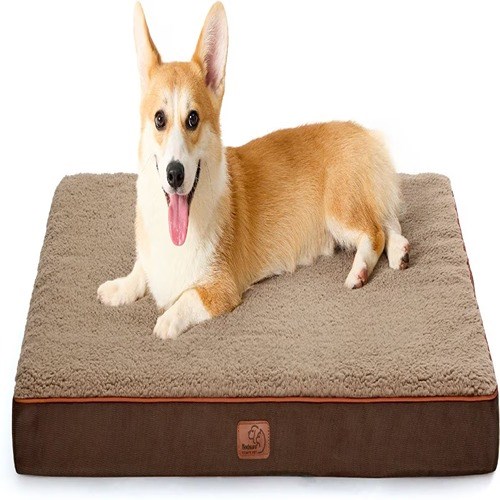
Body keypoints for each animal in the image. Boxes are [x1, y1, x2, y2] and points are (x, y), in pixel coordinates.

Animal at [98, 2, 410, 339]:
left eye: (193, 119)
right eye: (159, 119)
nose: (175, 174)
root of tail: (364, 133)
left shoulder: (221, 288)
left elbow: (187, 298)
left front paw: (166, 320)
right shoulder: (152, 262)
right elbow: (141, 270)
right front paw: (117, 288)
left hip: (339, 210)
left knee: (375, 231)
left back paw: (359, 271)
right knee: (388, 220)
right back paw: (400, 251)